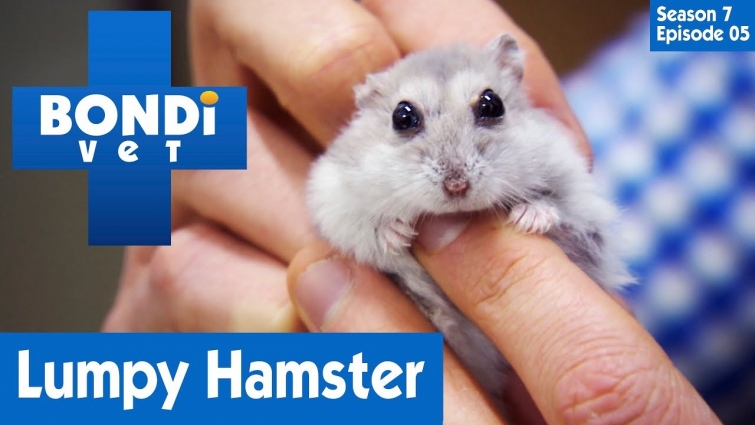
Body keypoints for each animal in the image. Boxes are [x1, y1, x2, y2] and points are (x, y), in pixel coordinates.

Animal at [306, 33, 634, 414]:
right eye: (402, 116)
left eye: (492, 104)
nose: (457, 186)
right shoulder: (333, 200)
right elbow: (365, 227)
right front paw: (399, 234)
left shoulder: (582, 204)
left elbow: (558, 208)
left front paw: (528, 218)